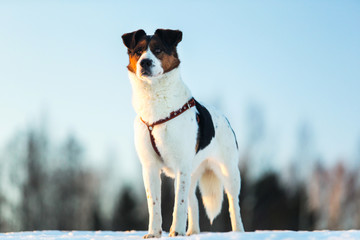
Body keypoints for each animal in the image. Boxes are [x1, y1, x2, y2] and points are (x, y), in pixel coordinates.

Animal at [121, 29, 245, 237]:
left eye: (158, 50)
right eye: (138, 52)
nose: (145, 62)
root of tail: (224, 117)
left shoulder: (181, 165)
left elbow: (178, 204)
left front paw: (176, 232)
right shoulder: (150, 167)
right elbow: (154, 204)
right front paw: (154, 233)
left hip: (228, 171)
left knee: (233, 203)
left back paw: (238, 232)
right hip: (192, 172)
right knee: (192, 201)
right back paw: (193, 232)